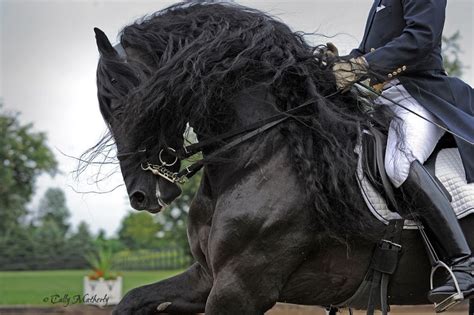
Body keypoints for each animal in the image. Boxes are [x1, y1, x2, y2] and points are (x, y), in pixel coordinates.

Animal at [88, 3, 470, 315]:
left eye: (122, 103)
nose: (141, 196)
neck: (260, 156)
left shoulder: (239, 289)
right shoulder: (207, 278)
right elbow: (130, 301)